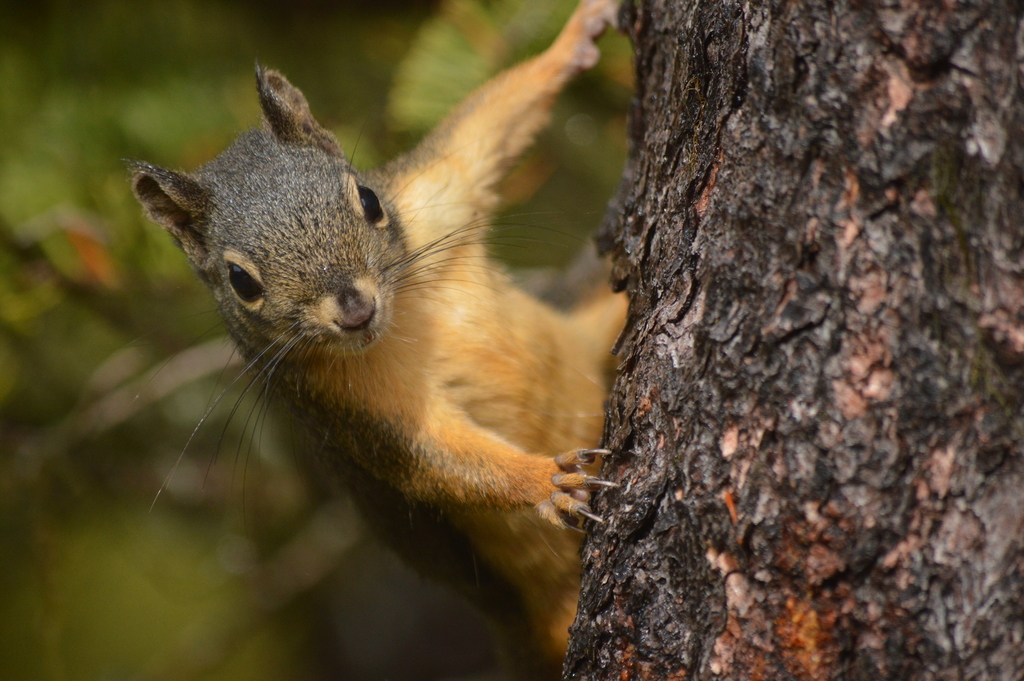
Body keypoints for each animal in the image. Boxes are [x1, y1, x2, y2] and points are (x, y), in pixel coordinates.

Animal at [130, 1, 626, 678]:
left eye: (368, 199)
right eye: (241, 282)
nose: (355, 310)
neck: (406, 312)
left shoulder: (434, 191)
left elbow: (486, 125)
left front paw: (575, 40)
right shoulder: (346, 405)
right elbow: (435, 456)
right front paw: (542, 482)